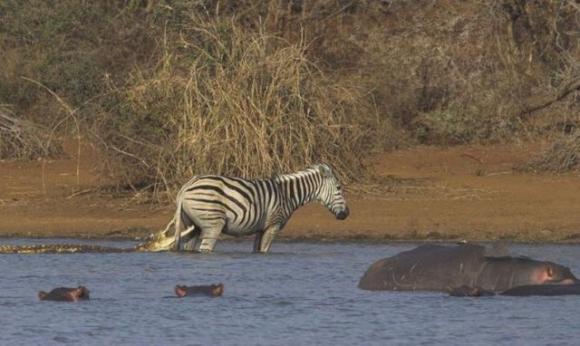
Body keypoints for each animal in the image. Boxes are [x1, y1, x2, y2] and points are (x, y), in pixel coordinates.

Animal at [169, 164, 348, 253]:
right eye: (339, 188)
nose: (346, 214)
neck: (287, 195)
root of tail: (188, 185)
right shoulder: (273, 225)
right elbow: (264, 250)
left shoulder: (261, 228)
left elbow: (257, 250)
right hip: (213, 223)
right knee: (205, 248)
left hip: (193, 225)